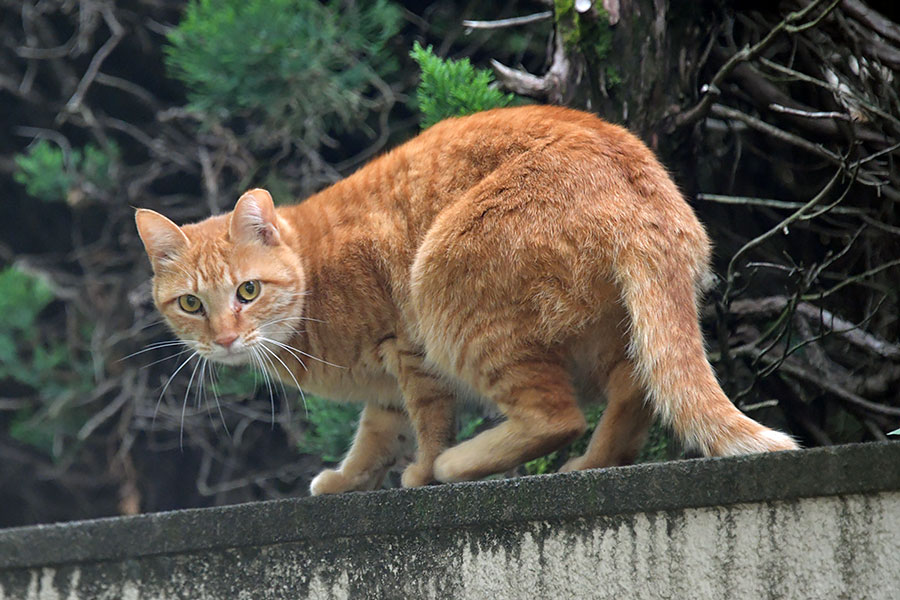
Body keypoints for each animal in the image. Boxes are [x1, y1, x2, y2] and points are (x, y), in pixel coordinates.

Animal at [134, 105, 796, 494]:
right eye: (191, 305)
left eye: (246, 291)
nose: (223, 338)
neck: (313, 282)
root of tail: (642, 183)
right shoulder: (385, 393)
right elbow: (376, 434)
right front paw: (348, 479)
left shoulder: (409, 352)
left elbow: (427, 423)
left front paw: (423, 470)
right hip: (613, 328)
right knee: (634, 390)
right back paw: (592, 465)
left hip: (449, 296)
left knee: (556, 415)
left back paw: (461, 465)